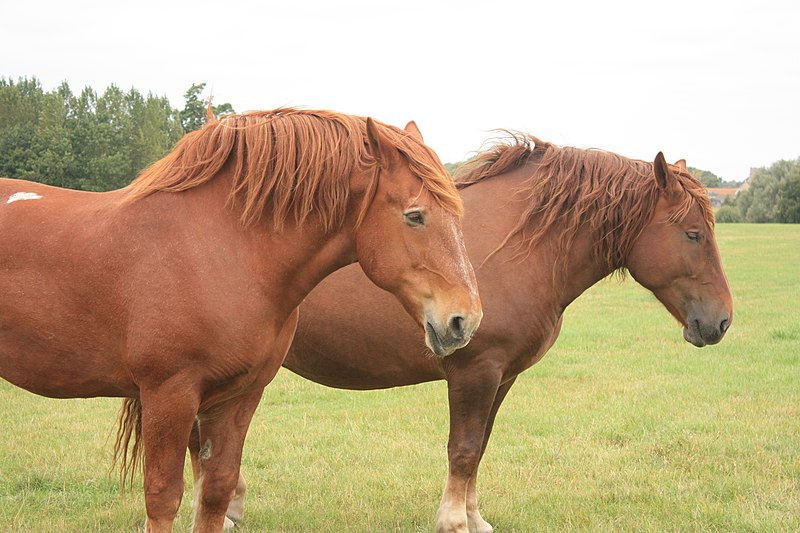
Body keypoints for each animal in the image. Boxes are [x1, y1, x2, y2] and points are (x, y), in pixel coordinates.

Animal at [0, 109, 482, 532]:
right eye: (415, 215)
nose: (465, 320)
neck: (220, 249)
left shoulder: (239, 397)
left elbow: (215, 492)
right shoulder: (168, 396)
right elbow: (163, 498)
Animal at [209, 133, 736, 532]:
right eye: (693, 234)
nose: (723, 321)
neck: (519, 249)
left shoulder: (501, 377)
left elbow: (479, 447)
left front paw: (475, 518)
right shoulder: (474, 372)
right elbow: (462, 450)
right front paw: (454, 522)